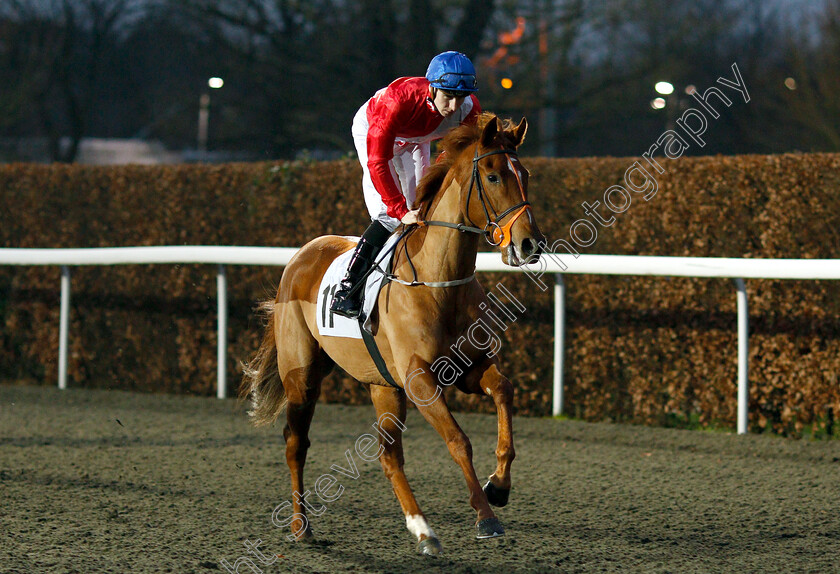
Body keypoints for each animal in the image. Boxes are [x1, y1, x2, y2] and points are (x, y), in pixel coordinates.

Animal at [243, 113, 544, 560]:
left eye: (524, 174)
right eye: (492, 176)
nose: (529, 244)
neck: (437, 279)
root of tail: (299, 257)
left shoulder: (466, 368)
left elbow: (505, 391)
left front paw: (499, 486)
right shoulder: (420, 380)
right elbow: (458, 440)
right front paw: (486, 517)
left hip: (383, 385)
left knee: (389, 457)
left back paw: (423, 530)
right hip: (302, 376)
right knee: (295, 443)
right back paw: (301, 526)